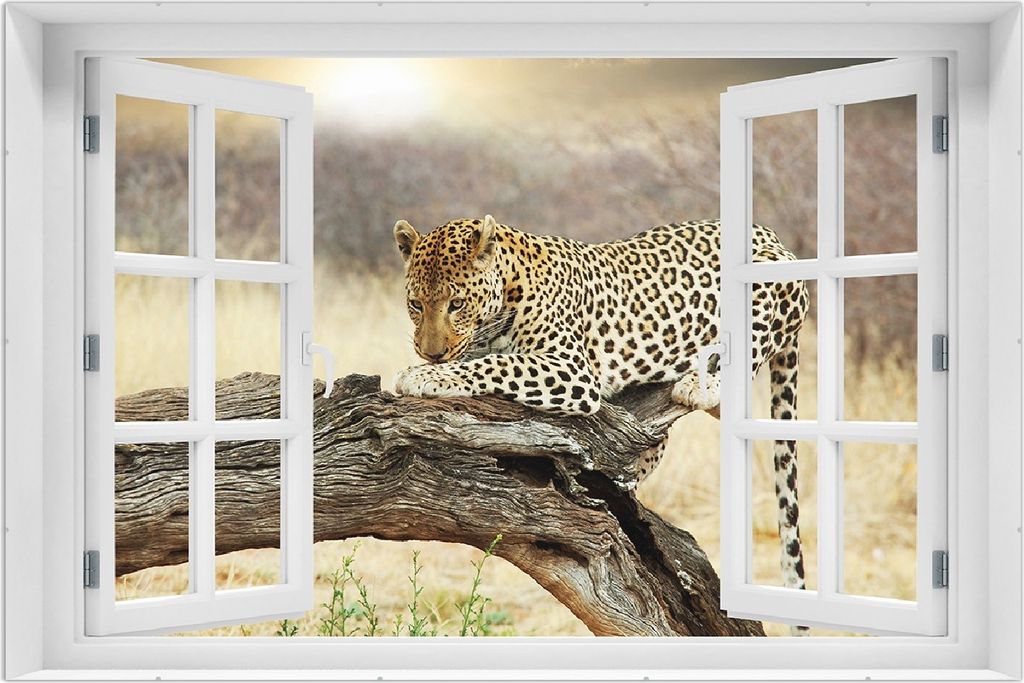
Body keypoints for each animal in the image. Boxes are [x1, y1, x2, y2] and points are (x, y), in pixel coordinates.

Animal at [392, 214, 811, 612]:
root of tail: (770, 234)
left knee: (749, 347)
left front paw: (423, 376)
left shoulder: (570, 368)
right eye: (415, 305)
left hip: (766, 285)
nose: (431, 353)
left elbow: (497, 364)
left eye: (457, 304)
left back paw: (701, 383)